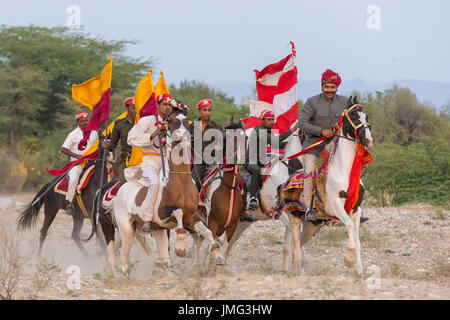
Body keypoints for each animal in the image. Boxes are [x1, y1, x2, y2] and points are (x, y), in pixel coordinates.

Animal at [109, 107, 221, 276]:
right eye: (171, 121)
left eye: (186, 120)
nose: (183, 138)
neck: (180, 182)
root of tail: (118, 193)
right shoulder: (163, 213)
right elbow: (178, 212)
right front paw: (180, 248)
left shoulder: (192, 217)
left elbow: (207, 232)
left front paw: (217, 254)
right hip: (126, 228)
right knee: (124, 255)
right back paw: (123, 274)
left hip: (156, 231)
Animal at [282, 95, 372, 276]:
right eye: (354, 116)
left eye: (366, 116)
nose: (368, 139)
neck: (343, 170)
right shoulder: (335, 207)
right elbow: (349, 227)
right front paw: (348, 261)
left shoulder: (355, 210)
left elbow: (358, 243)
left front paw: (359, 272)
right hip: (294, 218)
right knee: (295, 246)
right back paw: (296, 271)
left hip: (311, 226)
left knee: (300, 244)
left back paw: (300, 269)